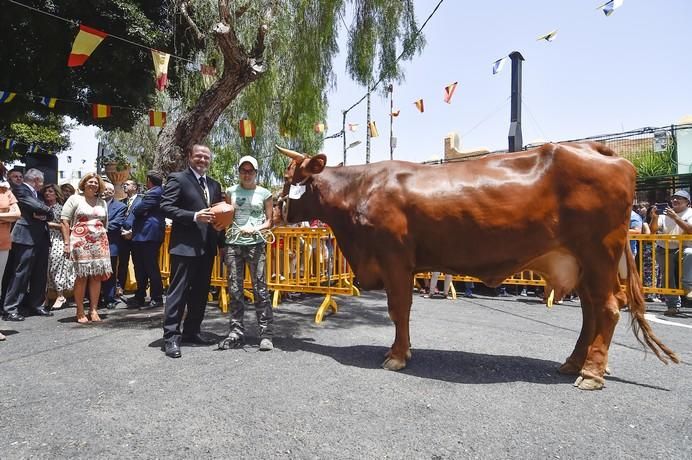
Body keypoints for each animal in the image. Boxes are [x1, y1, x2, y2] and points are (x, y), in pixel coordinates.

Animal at [274, 142, 676, 390]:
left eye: (288, 179)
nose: (274, 208)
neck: (361, 190)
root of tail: (594, 148)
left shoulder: (395, 259)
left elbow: (398, 308)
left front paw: (397, 356)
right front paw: (402, 351)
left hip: (598, 253)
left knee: (607, 309)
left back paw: (591, 374)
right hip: (581, 262)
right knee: (591, 311)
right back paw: (574, 363)